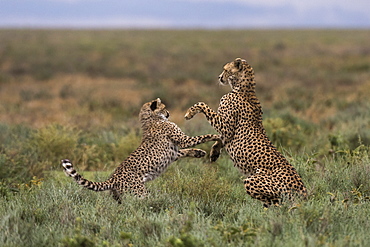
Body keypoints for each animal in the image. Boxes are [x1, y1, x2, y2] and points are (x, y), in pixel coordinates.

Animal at [62, 98, 221, 203]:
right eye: (164, 107)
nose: (168, 113)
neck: (151, 119)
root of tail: (113, 177)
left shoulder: (174, 152)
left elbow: (186, 150)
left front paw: (199, 152)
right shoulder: (182, 140)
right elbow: (201, 137)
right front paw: (217, 136)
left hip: (120, 197)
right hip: (140, 193)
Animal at [184, 58, 306, 206]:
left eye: (225, 70)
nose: (219, 77)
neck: (245, 89)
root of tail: (302, 189)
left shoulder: (227, 127)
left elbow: (203, 105)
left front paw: (190, 112)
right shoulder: (227, 131)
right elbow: (220, 138)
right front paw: (214, 153)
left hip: (253, 180)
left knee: (278, 205)